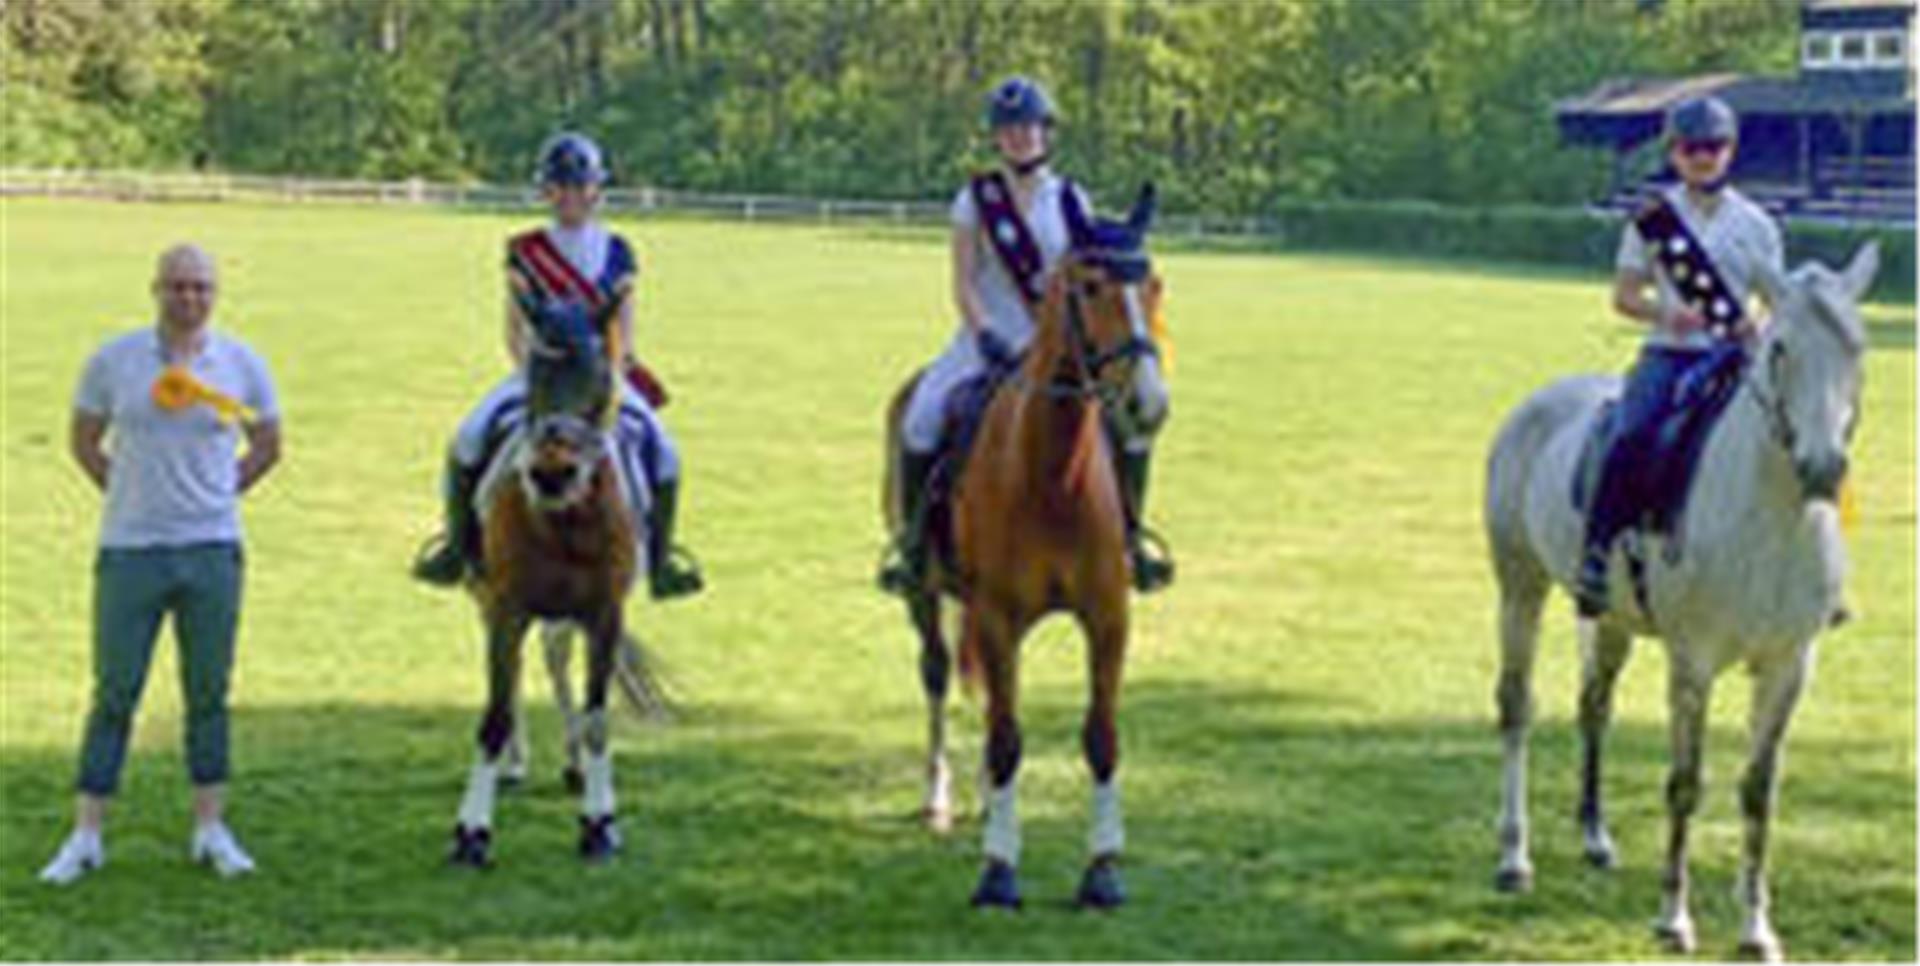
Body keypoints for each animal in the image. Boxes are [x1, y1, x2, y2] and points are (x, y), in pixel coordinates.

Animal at [879, 185, 1159, 910]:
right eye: (1090, 286)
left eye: (1153, 283)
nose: (1148, 405)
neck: (1052, 473)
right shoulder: (999, 615)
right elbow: (1006, 738)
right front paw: (999, 870)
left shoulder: (1108, 617)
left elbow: (1101, 737)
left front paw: (1102, 869)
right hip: (926, 595)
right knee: (938, 674)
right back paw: (941, 798)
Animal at [1482, 243, 1873, 960]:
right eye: (1779, 346)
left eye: (1856, 345)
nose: (1823, 467)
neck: (1772, 521)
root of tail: (1537, 403)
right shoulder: (1693, 663)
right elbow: (1685, 785)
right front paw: (1673, 918)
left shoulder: (1790, 665)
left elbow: (1758, 792)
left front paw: (1756, 929)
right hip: (1519, 587)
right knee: (1517, 708)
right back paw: (1514, 858)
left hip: (1610, 620)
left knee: (1593, 709)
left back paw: (1596, 838)